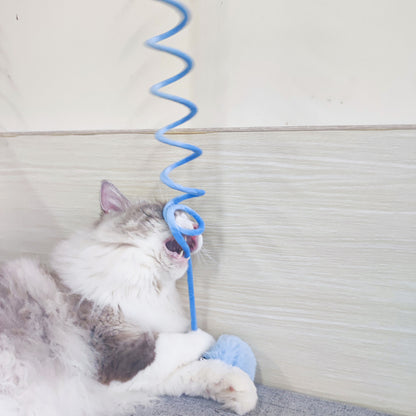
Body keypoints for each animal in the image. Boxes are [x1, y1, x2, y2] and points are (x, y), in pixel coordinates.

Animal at [0, 181, 256, 416]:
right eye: (164, 211)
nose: (197, 225)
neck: (149, 286)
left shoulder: (132, 380)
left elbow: (196, 372)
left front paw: (241, 391)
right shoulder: (119, 355)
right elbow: (184, 342)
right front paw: (206, 336)